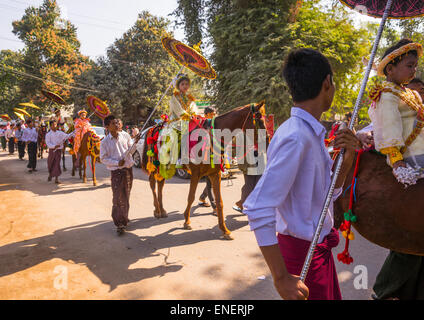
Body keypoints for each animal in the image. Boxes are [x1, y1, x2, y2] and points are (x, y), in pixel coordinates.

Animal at [142, 102, 268, 240]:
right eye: (260, 119)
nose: (268, 140)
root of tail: (154, 127)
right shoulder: (195, 173)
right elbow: (191, 197)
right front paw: (187, 221)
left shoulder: (215, 174)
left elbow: (219, 201)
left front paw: (224, 230)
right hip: (155, 164)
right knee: (152, 183)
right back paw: (157, 210)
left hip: (164, 166)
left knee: (160, 184)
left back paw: (163, 210)